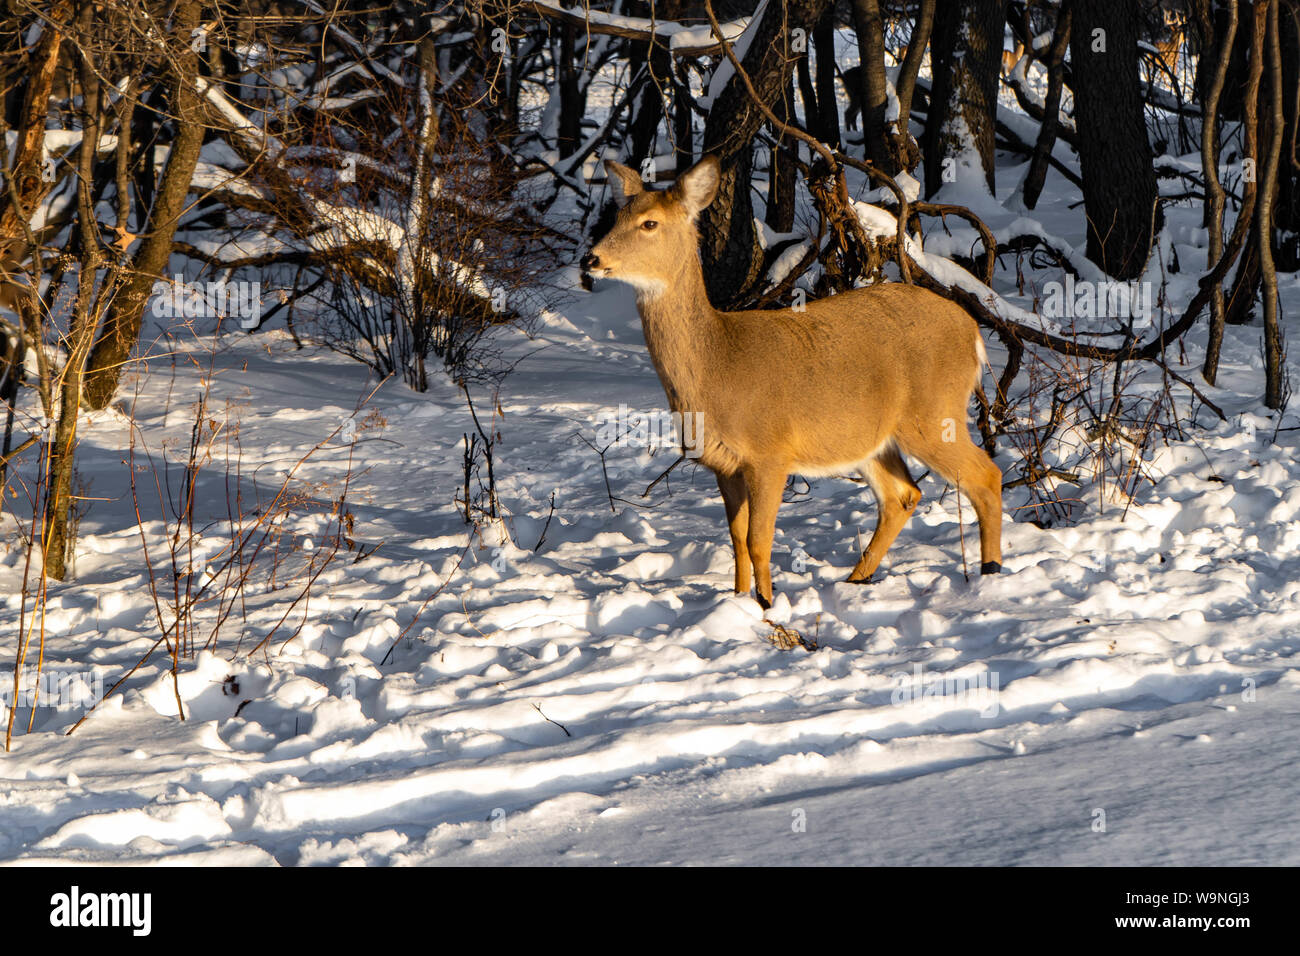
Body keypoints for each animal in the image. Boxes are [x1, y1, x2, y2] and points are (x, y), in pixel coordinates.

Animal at [581, 156, 1004, 610]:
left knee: (985, 477)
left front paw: (767, 606)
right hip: (871, 438)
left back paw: (990, 573)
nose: (591, 258)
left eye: (649, 223)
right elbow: (736, 539)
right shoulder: (724, 463)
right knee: (903, 496)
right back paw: (855, 581)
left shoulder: (770, 453)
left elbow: (758, 540)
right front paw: (739, 600)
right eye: (616, 217)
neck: (718, 365)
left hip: (934, 414)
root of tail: (972, 331)